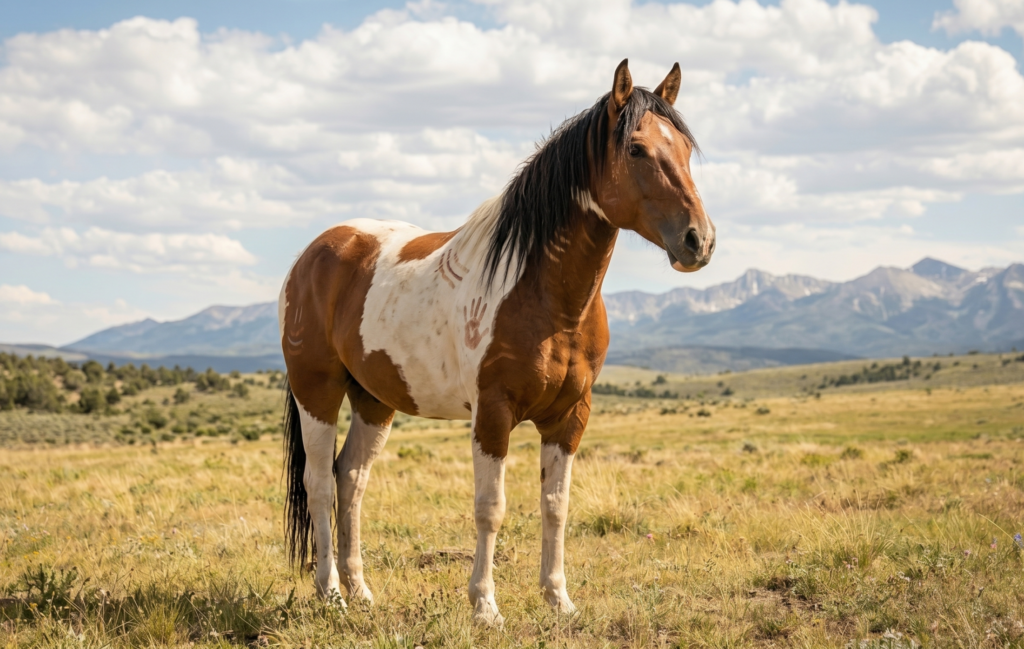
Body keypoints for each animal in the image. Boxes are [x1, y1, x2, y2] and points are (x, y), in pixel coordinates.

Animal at [278, 59, 715, 626]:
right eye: (636, 149)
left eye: (684, 148)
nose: (699, 241)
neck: (545, 295)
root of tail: (316, 252)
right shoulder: (493, 413)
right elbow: (491, 509)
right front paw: (485, 606)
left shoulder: (570, 416)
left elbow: (556, 506)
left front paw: (558, 599)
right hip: (318, 391)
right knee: (320, 484)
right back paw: (330, 593)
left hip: (373, 400)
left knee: (351, 479)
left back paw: (361, 592)